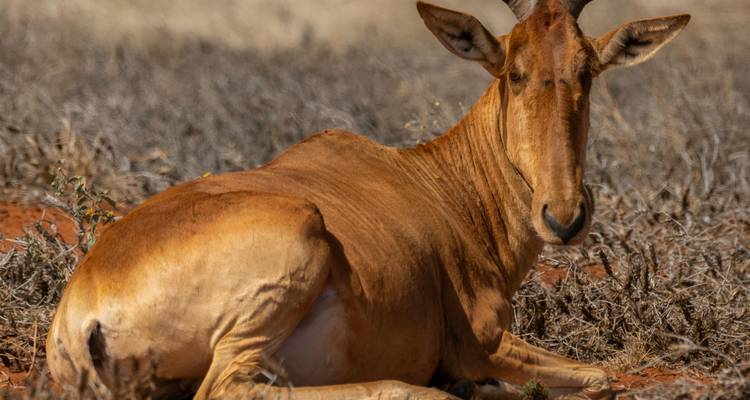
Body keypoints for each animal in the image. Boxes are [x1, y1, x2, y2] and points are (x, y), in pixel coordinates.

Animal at [46, 0, 690, 398]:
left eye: (588, 70)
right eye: (512, 70)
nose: (563, 215)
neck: (438, 184)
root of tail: (84, 307)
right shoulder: (480, 343)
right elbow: (602, 375)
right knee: (229, 389)